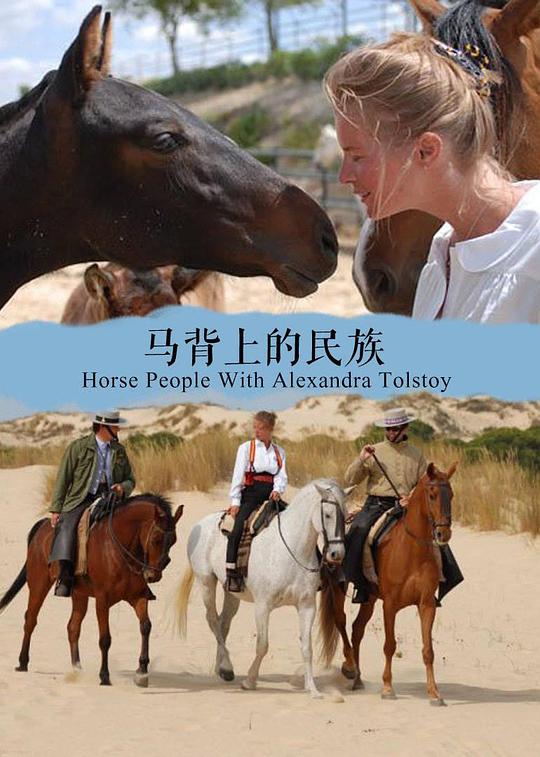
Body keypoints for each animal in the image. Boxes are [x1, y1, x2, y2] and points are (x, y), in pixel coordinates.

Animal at [0, 494, 183, 686]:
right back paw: (22, 662)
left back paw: (77, 668)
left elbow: (146, 626)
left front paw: (142, 672)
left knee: (73, 627)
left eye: (174, 541)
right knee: (30, 619)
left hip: (79, 594)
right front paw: (104, 676)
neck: (119, 549)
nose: (153, 576)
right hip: (38, 584)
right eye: (156, 539)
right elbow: (105, 638)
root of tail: (43, 525)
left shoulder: (138, 597)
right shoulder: (103, 600)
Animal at [177, 480, 346, 698]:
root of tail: (200, 524)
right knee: (213, 620)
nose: (336, 554)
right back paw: (227, 668)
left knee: (223, 623)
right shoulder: (263, 606)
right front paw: (250, 681)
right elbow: (263, 645)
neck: (291, 549)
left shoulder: (307, 607)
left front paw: (313, 689)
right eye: (328, 515)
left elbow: (307, 648)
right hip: (206, 583)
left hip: (231, 592)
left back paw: (220, 668)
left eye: (346, 515)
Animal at [318, 463, 457, 705]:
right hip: (338, 587)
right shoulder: (390, 605)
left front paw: (434, 693)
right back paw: (349, 668)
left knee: (357, 629)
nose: (443, 533)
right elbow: (390, 645)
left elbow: (428, 650)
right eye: (432, 495)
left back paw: (358, 679)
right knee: (341, 621)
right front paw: (387, 688)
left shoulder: (427, 604)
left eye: (451, 495)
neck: (412, 549)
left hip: (369, 597)